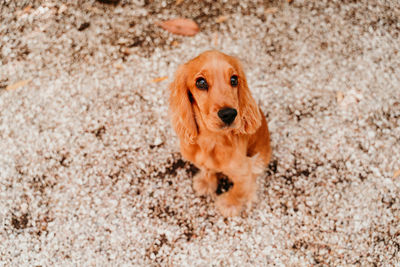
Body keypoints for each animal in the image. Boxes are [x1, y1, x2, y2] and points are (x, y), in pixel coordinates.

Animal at [167, 50, 270, 218]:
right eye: (200, 82)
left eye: (234, 79)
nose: (229, 114)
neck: (212, 140)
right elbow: (207, 169)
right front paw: (205, 183)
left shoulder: (243, 170)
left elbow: (240, 189)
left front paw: (230, 204)